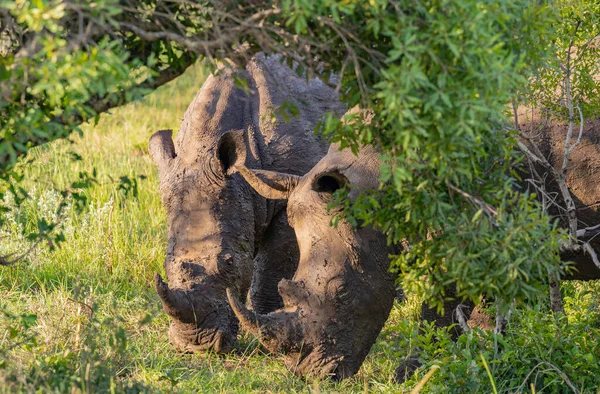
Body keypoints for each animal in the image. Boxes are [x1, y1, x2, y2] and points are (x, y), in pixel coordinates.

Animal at [148, 53, 344, 354]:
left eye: (228, 263)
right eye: (168, 264)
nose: (196, 346)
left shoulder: (292, 193)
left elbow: (269, 273)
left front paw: (269, 332)